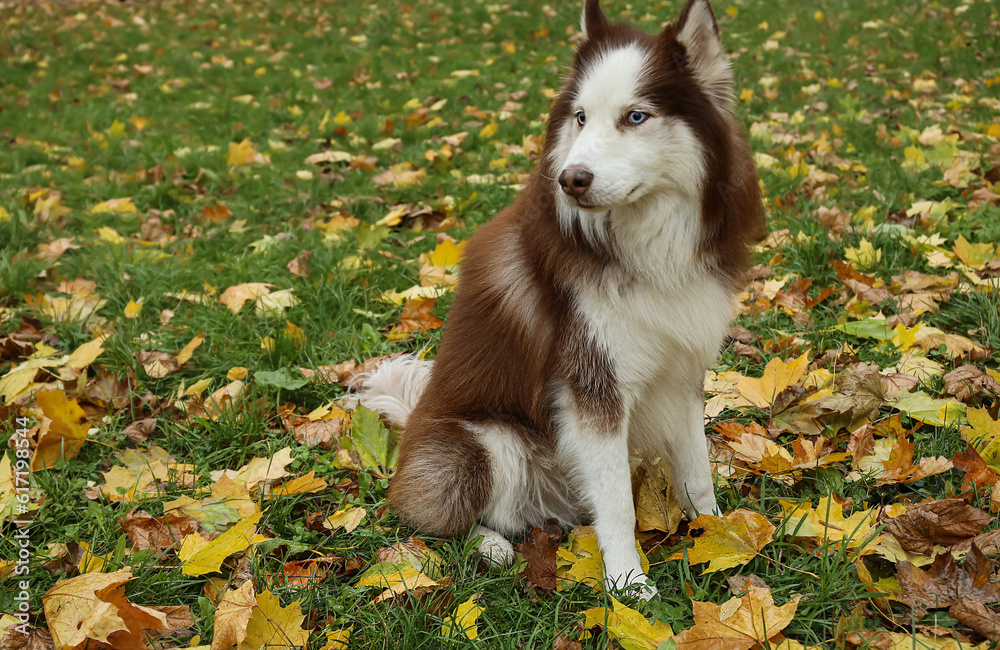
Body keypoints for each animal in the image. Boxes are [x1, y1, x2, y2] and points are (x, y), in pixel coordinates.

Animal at [360, 0, 764, 596]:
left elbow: (696, 471)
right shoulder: (593, 387)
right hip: (484, 442)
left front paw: (719, 534)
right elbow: (617, 504)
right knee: (433, 519)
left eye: (635, 117)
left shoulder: (683, 371)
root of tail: (411, 424)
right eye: (580, 117)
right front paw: (628, 585)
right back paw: (489, 544)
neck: (645, 247)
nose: (571, 179)